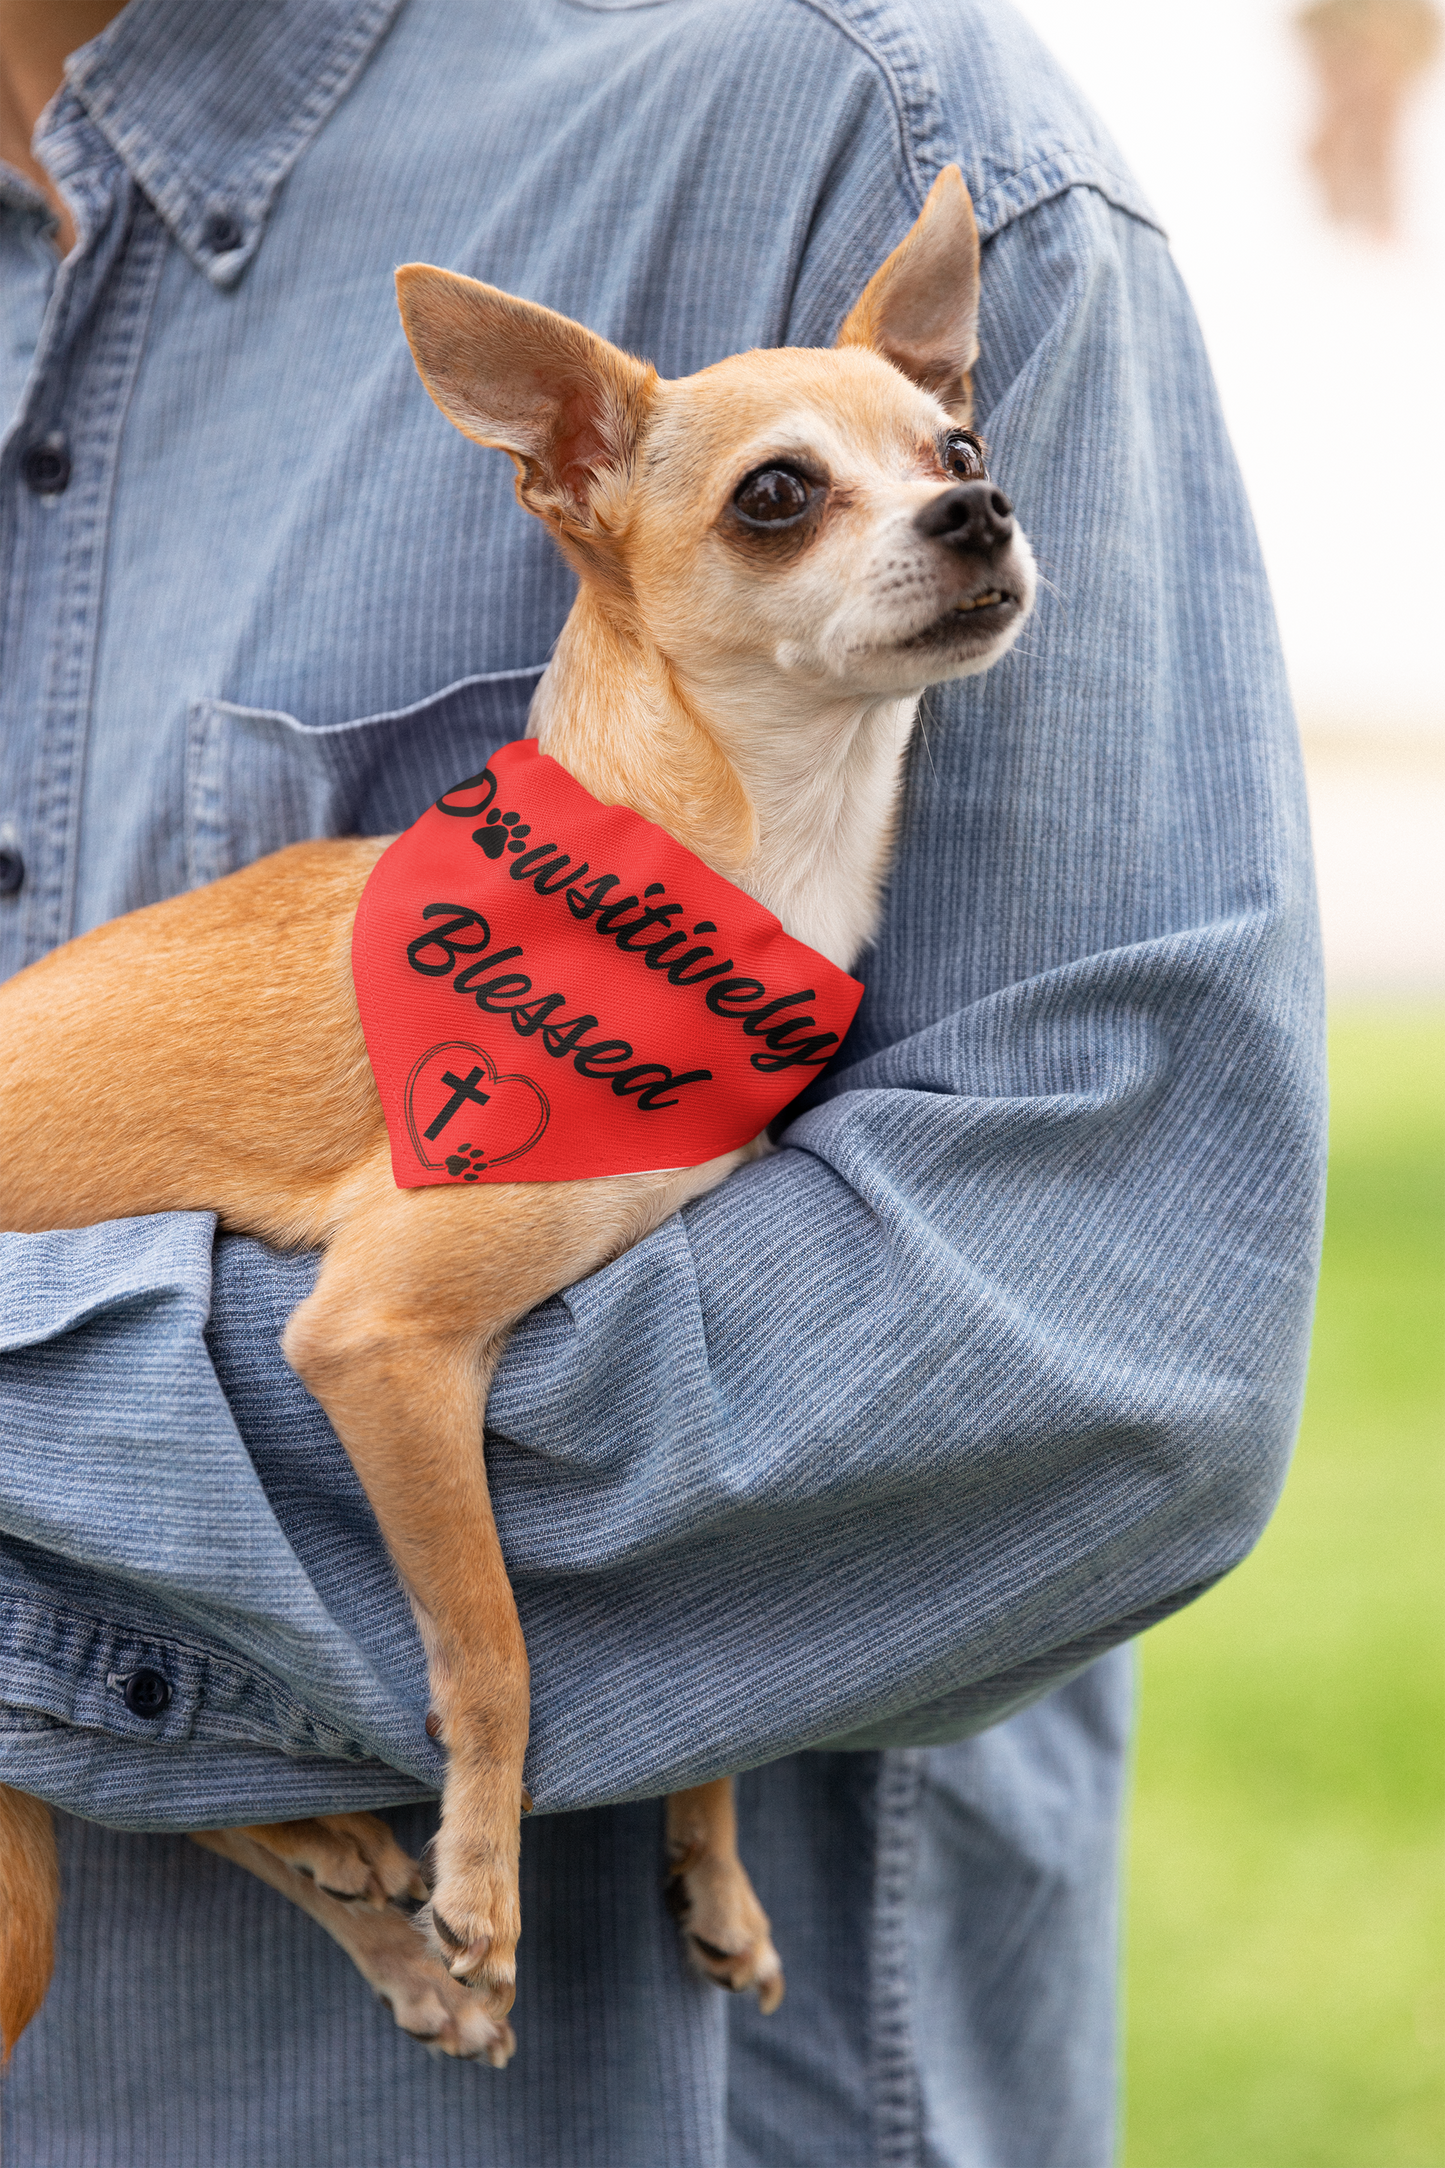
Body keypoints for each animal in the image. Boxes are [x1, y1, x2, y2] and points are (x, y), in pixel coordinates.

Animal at [0, 164, 1026, 2063]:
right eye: (779, 495)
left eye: (960, 439)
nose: (982, 509)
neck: (698, 880)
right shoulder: (381, 1341)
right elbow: (492, 1645)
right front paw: (483, 1879)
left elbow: (711, 1687)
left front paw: (708, 1864)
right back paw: (370, 1875)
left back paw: (348, 1875)